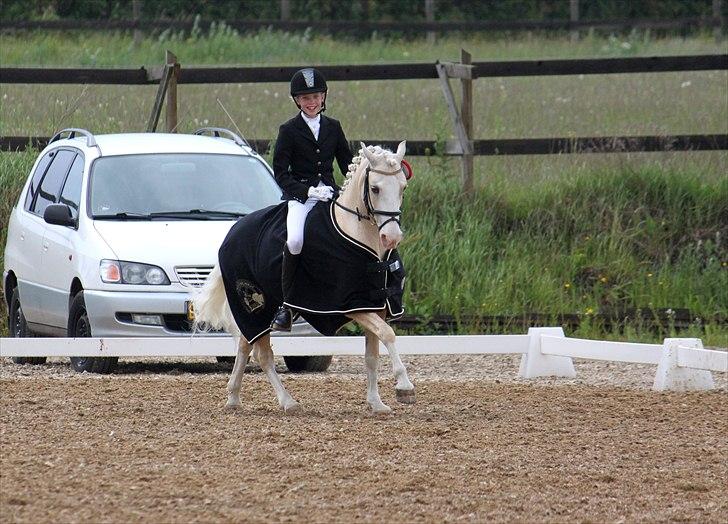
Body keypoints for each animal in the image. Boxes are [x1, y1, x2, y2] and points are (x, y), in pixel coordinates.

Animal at [193, 141, 416, 416]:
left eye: (403, 187)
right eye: (375, 189)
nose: (392, 238)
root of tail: (233, 231)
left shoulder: (376, 306)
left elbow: (372, 355)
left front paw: (377, 403)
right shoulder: (353, 306)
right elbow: (389, 335)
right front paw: (404, 386)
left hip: (258, 310)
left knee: (245, 344)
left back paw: (233, 398)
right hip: (254, 307)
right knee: (262, 354)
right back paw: (287, 402)